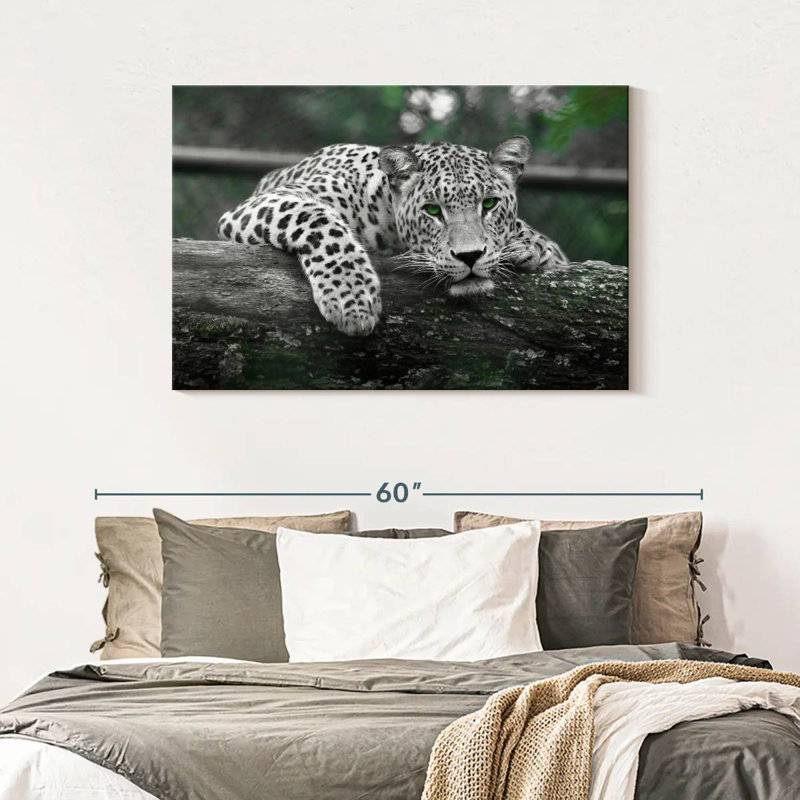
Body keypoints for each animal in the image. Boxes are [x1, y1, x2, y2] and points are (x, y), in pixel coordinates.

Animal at [217, 135, 567, 336]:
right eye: (432, 210)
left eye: (490, 204)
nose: (470, 257)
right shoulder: (266, 202)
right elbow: (319, 221)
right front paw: (352, 298)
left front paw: (533, 246)